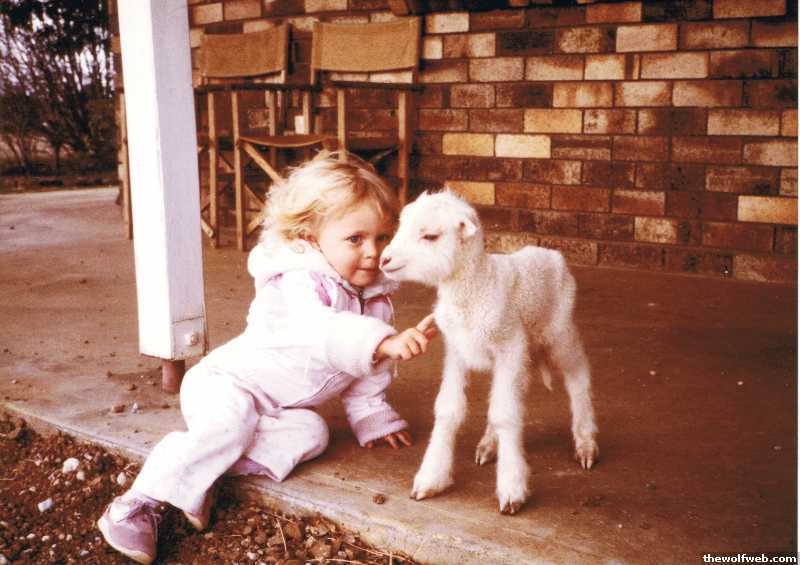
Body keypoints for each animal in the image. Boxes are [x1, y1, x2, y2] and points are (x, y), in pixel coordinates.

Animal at [380, 190, 599, 514]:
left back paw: (585, 444)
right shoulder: (457, 351)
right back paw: (489, 445)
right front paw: (430, 479)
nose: (385, 259)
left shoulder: (510, 346)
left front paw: (511, 490)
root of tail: (549, 253)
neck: (476, 286)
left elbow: (506, 414)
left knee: (577, 377)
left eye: (430, 236)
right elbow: (449, 409)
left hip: (558, 331)